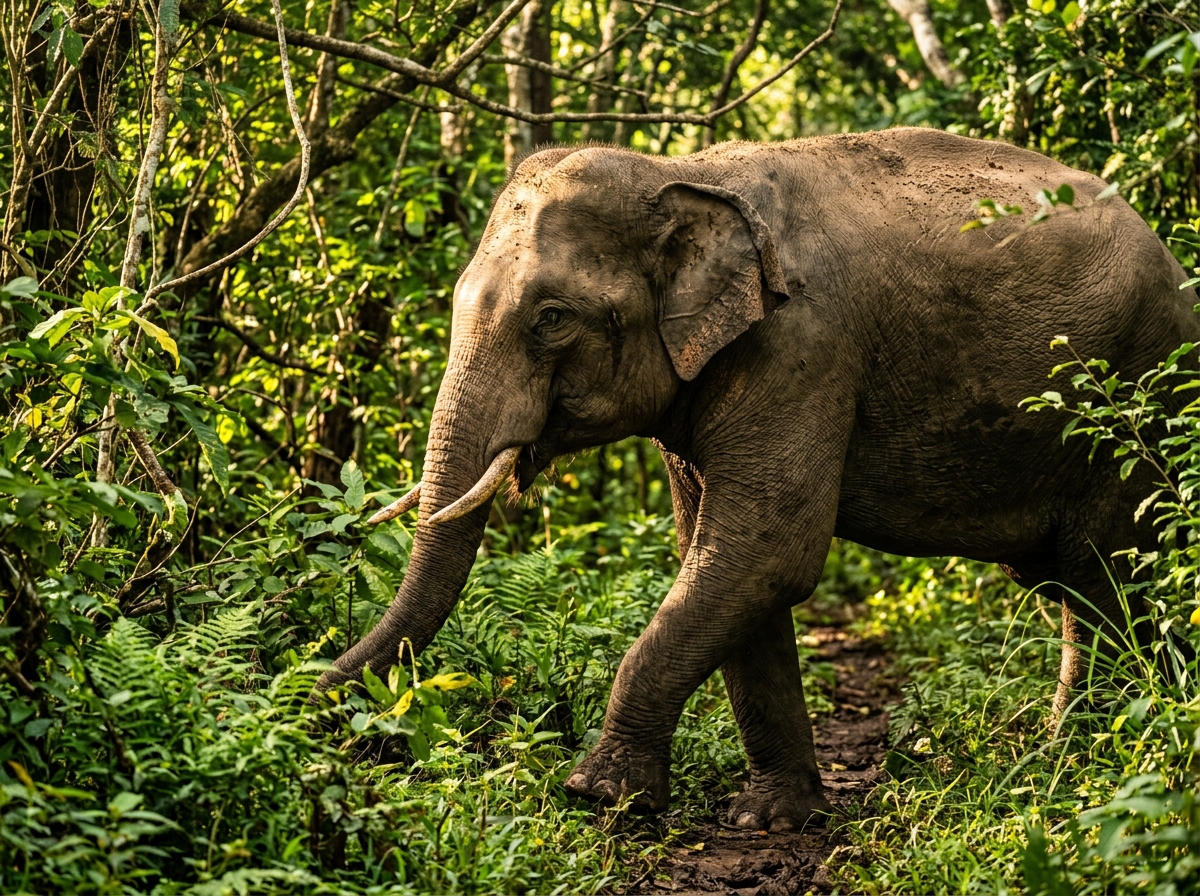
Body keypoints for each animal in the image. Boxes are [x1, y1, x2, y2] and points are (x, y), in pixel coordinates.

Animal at [315, 127, 1200, 831]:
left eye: (552, 319)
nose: (320, 710)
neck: (680, 172)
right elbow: (724, 559)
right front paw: (772, 818)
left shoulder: (804, 345)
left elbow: (768, 549)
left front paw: (598, 795)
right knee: (1078, 583)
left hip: (1139, 396)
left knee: (1105, 576)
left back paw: (1082, 764)